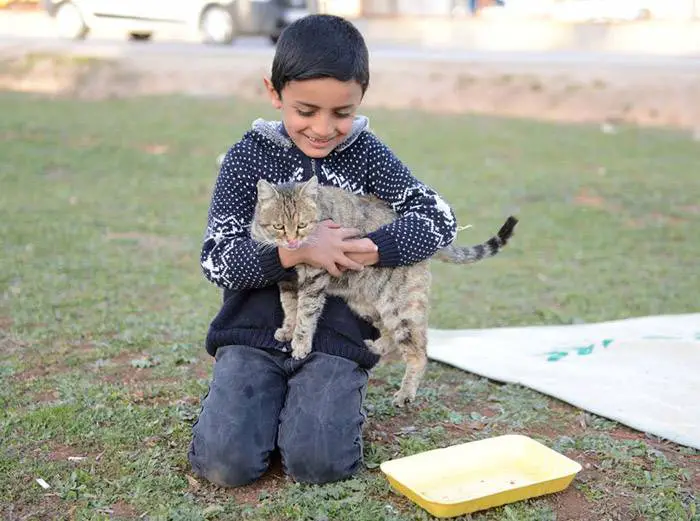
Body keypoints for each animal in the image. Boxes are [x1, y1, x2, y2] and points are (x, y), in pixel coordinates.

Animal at [252, 177, 520, 404]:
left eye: (302, 225)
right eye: (278, 226)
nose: (292, 242)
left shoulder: (314, 278)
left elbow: (306, 315)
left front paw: (300, 344)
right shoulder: (286, 279)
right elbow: (289, 307)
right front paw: (287, 330)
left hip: (401, 308)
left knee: (419, 352)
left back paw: (405, 394)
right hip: (368, 304)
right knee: (390, 334)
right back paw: (376, 347)